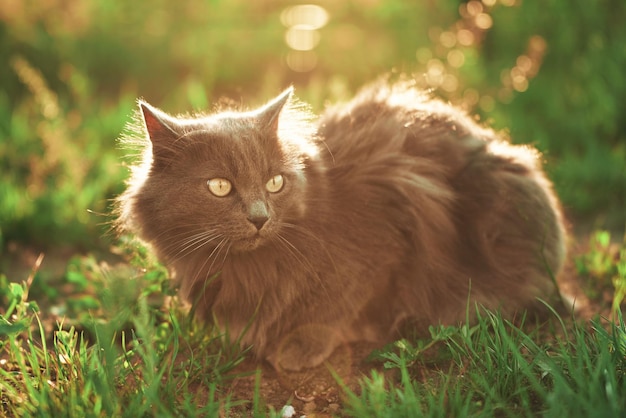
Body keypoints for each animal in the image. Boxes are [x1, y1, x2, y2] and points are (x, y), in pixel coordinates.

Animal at [116, 81, 564, 372]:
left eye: (274, 182)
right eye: (220, 186)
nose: (260, 217)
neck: (248, 269)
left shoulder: (388, 231)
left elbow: (337, 304)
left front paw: (298, 346)